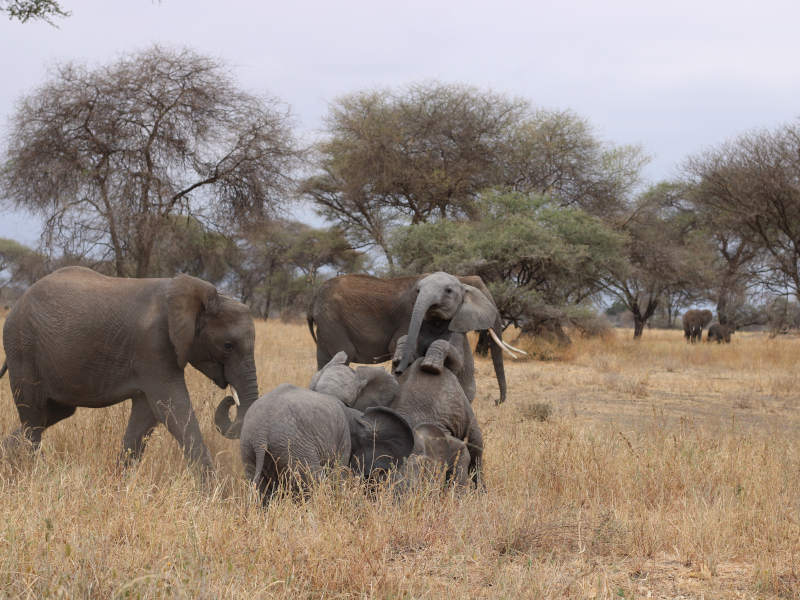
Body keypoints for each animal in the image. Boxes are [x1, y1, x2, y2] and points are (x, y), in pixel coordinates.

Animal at [0, 264, 260, 472]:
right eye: (228, 345)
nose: (230, 397)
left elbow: (147, 415)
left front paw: (118, 481)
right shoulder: (154, 346)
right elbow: (172, 408)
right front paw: (213, 494)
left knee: (52, 413)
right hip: (23, 348)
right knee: (33, 415)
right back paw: (36, 472)